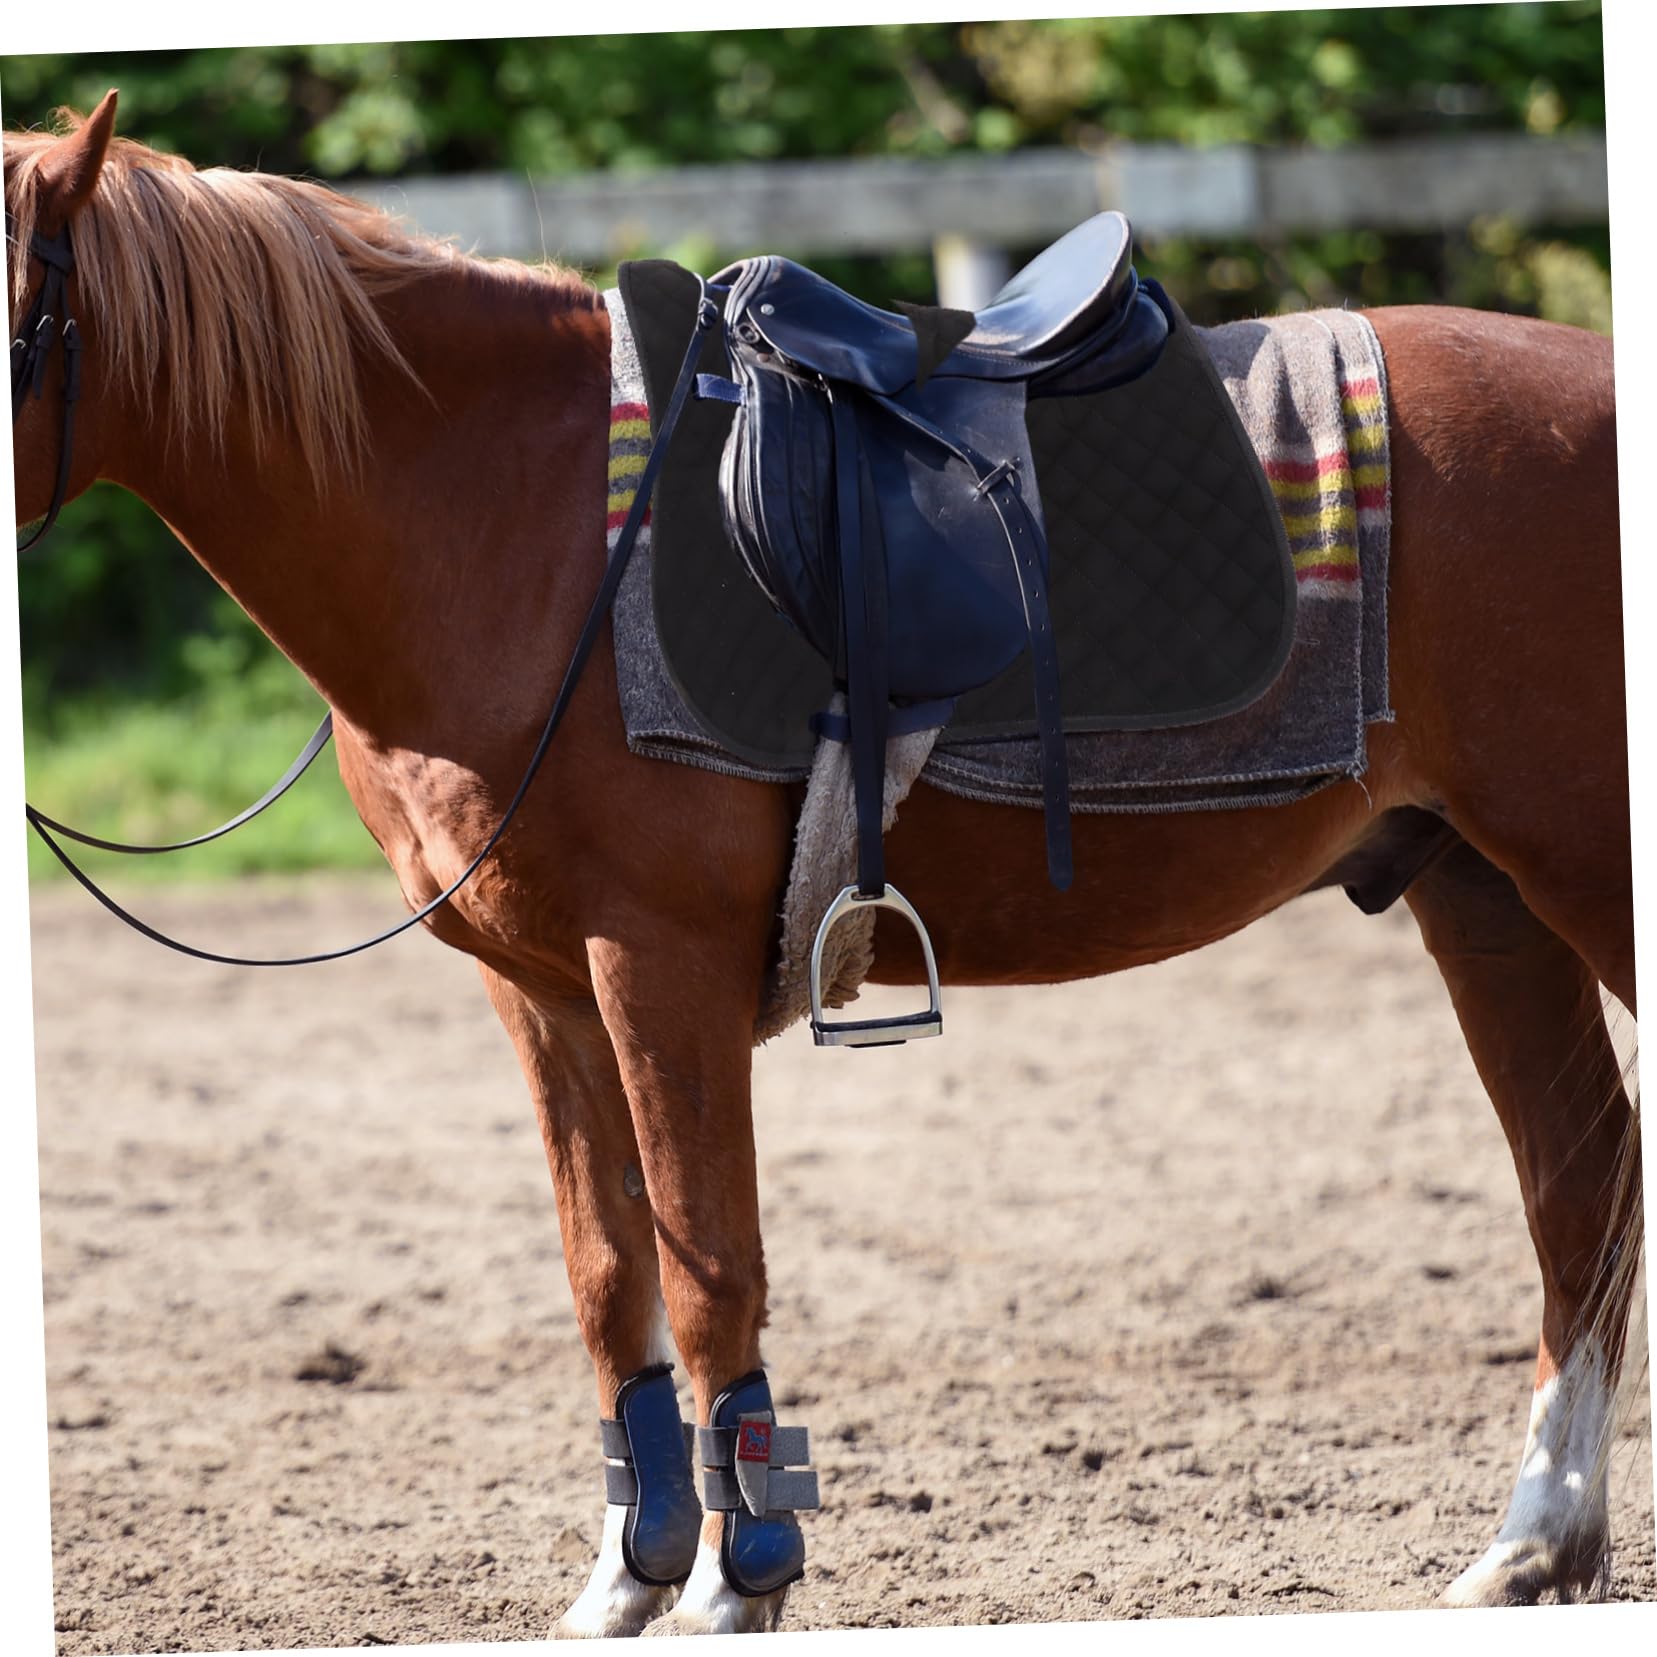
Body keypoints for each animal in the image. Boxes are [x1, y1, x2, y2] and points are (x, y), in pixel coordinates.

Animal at [7, 95, 1642, 1635]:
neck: (510, 520)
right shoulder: (539, 989)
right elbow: (609, 1273)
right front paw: (629, 1572)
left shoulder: (652, 962)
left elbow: (708, 1265)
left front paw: (741, 1576)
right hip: (1481, 894)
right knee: (1578, 1179)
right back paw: (1528, 1544)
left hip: (1583, 874)